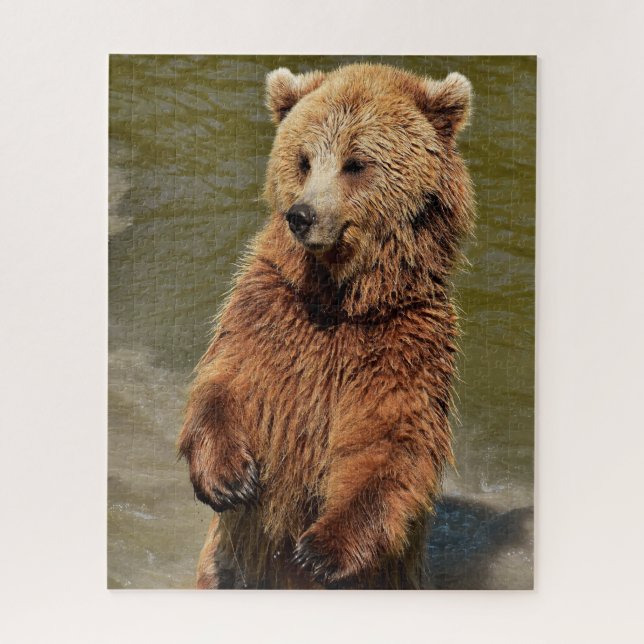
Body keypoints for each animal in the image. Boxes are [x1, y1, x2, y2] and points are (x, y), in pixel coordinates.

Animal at [178, 63, 475, 589]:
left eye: (355, 163)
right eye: (303, 160)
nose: (302, 215)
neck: (339, 301)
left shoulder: (405, 342)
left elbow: (388, 441)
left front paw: (321, 550)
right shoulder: (269, 309)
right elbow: (227, 381)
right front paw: (230, 479)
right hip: (226, 568)